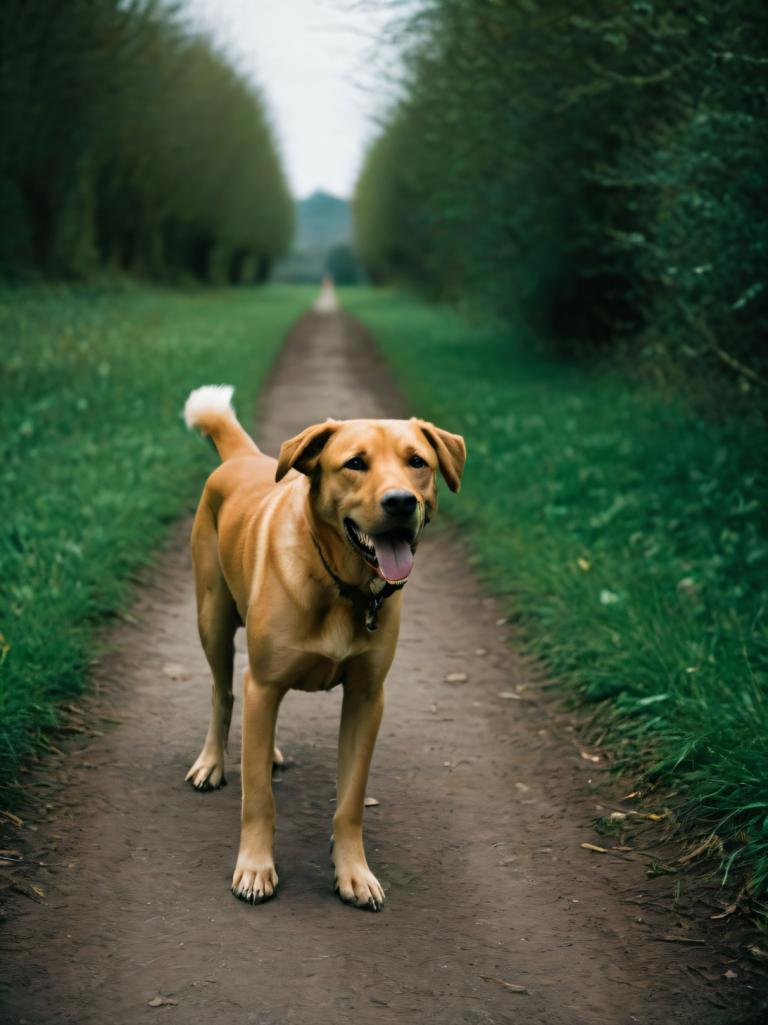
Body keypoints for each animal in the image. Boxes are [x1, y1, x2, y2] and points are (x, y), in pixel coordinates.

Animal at [182, 385, 463, 914]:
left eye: (418, 462)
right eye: (354, 463)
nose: (401, 502)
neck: (341, 584)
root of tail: (245, 457)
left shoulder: (366, 699)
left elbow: (350, 800)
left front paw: (353, 872)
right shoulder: (264, 681)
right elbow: (258, 798)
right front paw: (255, 867)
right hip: (213, 621)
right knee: (222, 694)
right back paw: (212, 761)